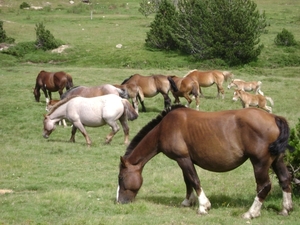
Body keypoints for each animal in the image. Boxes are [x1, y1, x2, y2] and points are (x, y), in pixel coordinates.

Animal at [117, 105, 292, 220]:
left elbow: (194, 180)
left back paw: (251, 213)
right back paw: (286, 208)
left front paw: (203, 206)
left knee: (264, 186)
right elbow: (187, 180)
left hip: (260, 163)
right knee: (285, 179)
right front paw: (188, 201)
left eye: (121, 178)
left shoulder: (183, 159)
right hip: (277, 160)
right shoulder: (184, 160)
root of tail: (274, 118)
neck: (165, 128)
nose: (120, 201)